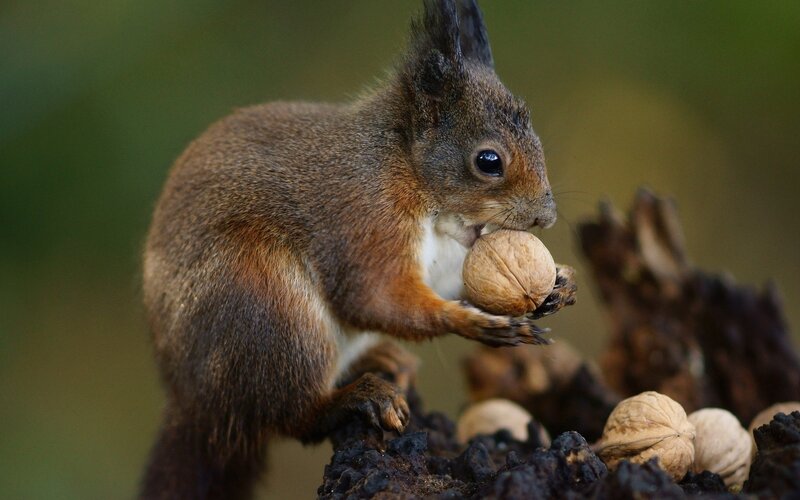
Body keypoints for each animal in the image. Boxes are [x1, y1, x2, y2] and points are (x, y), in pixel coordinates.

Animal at [140, 1, 577, 498]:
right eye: (489, 161)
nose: (547, 217)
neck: (408, 171)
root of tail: (197, 407)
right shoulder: (364, 216)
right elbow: (371, 296)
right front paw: (476, 322)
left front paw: (559, 283)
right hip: (268, 310)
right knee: (291, 416)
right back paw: (355, 399)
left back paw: (382, 359)